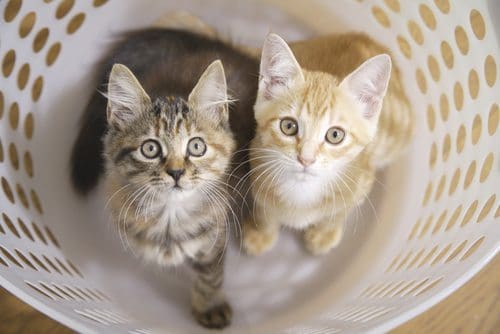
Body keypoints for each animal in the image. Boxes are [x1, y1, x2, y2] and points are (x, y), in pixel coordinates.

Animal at [71, 29, 258, 328]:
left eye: (196, 146)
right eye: (150, 149)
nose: (176, 172)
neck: (170, 215)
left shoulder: (215, 235)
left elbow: (211, 275)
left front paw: (210, 306)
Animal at [244, 32, 412, 254]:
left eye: (335, 135)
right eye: (288, 126)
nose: (306, 159)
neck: (302, 191)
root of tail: (364, 37)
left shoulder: (362, 183)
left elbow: (339, 213)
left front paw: (324, 234)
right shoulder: (257, 167)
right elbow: (265, 210)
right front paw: (261, 232)